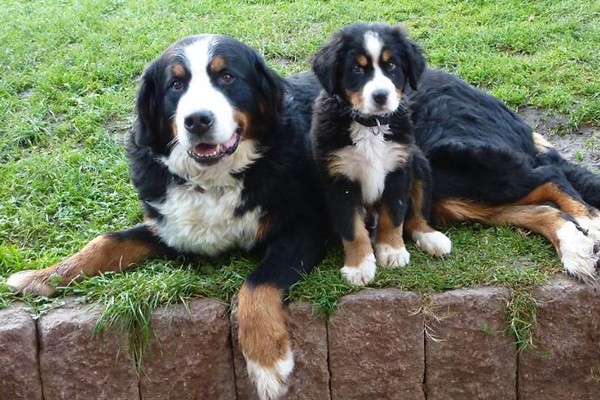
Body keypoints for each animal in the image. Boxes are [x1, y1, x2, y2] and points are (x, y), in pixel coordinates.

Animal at [5, 33, 328, 400]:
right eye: (176, 84)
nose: (197, 120)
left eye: (227, 77)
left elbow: (255, 286)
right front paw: (43, 276)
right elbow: (107, 242)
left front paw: (268, 363)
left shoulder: (303, 228)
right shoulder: (172, 228)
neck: (212, 183)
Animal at [310, 23, 450, 286]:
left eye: (391, 65)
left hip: (418, 162)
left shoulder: (398, 168)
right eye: (356, 68)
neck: (370, 125)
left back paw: (432, 238)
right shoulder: (339, 180)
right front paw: (359, 266)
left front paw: (392, 251)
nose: (381, 96)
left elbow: (394, 216)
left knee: (416, 216)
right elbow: (352, 228)